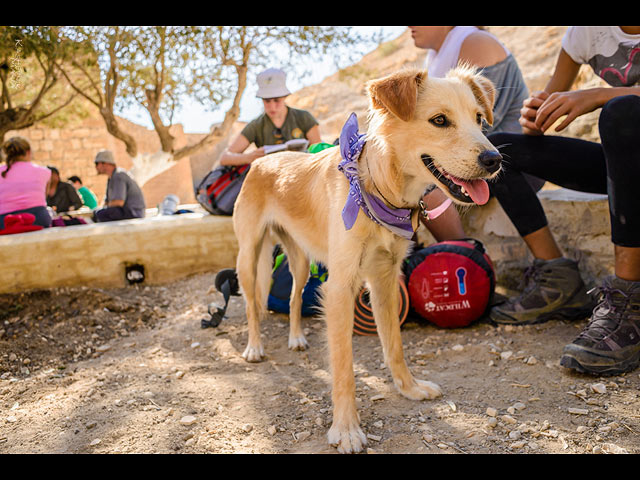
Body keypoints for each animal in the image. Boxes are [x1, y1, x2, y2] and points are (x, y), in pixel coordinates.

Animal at [232, 67, 502, 454]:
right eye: (439, 120)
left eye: (480, 119)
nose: (494, 160)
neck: (378, 188)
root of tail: (262, 159)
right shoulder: (340, 288)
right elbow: (344, 367)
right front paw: (346, 428)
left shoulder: (385, 279)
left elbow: (394, 345)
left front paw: (409, 388)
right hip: (249, 256)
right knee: (253, 304)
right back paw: (254, 347)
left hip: (300, 261)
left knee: (296, 297)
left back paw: (296, 338)